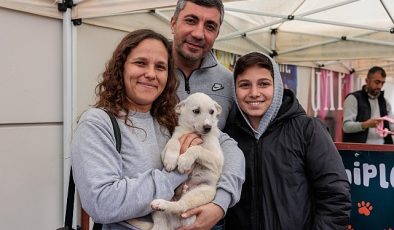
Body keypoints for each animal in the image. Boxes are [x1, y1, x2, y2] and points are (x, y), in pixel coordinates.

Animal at [151, 92, 225, 229]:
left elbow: (197, 148)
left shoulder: (218, 159)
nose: (208, 127)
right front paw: (171, 160)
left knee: (182, 207)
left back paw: (162, 204)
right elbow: (174, 142)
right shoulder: (167, 147)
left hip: (201, 192)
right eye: (196, 111)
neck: (194, 132)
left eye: (212, 111)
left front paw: (184, 161)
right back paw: (159, 206)